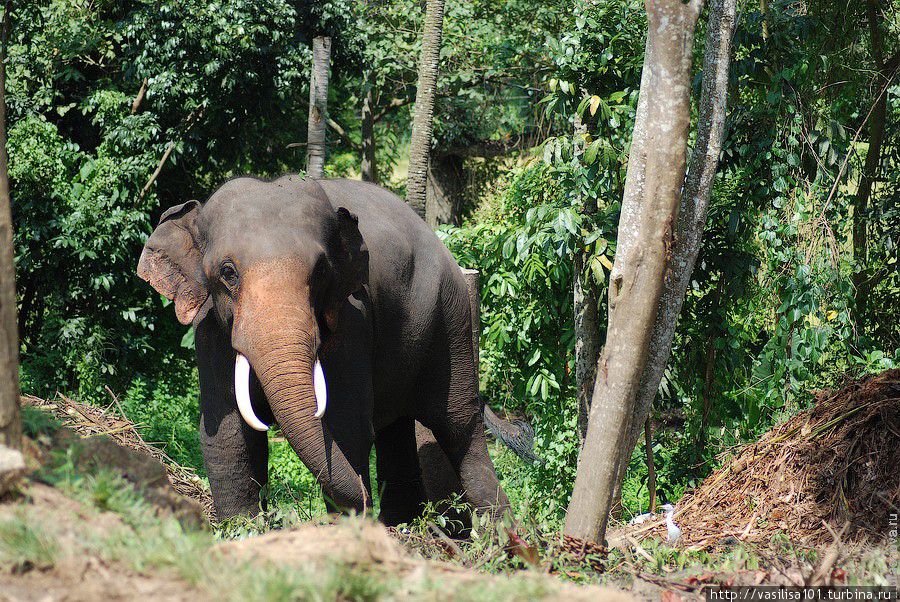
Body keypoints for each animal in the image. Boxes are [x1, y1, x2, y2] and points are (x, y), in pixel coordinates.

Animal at [136, 173, 510, 520]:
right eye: (228, 272)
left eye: (320, 272)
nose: (366, 502)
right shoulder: (209, 327)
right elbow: (227, 432)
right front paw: (243, 528)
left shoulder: (353, 318)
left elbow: (347, 424)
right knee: (397, 428)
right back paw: (403, 526)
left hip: (451, 316)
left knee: (459, 427)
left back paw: (501, 535)